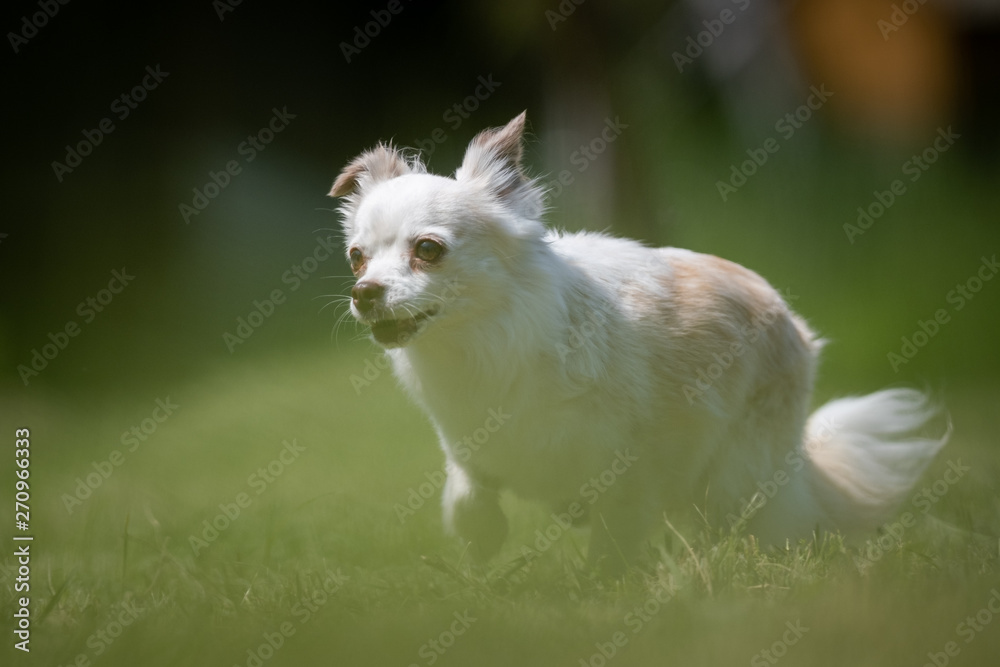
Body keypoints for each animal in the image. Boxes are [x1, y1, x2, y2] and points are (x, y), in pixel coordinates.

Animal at [332, 112, 948, 572]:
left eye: (428, 250)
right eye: (356, 257)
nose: (364, 292)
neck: (481, 342)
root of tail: (794, 326)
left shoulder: (630, 469)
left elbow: (613, 537)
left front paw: (601, 587)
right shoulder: (470, 445)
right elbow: (466, 495)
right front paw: (481, 539)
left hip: (735, 478)